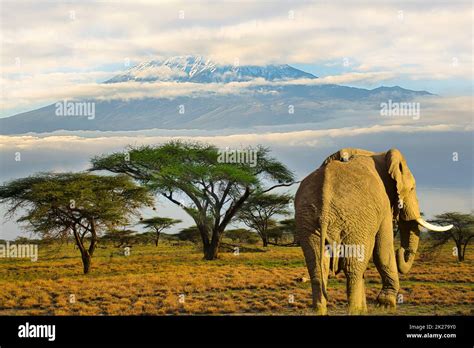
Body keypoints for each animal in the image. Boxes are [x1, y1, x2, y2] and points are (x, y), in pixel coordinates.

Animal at [294, 148, 454, 314]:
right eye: (411, 189)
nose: (401, 250)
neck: (380, 155)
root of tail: (325, 210)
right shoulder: (383, 204)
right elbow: (383, 250)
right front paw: (385, 305)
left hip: (308, 221)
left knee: (318, 268)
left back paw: (324, 310)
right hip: (355, 221)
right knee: (352, 268)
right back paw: (356, 311)